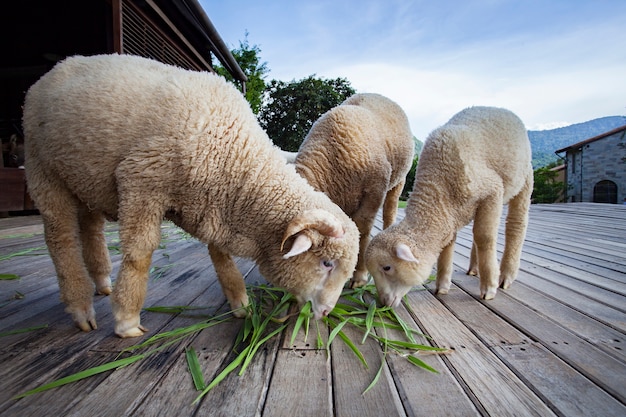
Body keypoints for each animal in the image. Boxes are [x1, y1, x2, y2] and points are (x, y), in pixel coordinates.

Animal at [23, 52, 356, 338]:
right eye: (327, 263)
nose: (326, 312)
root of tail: (54, 69)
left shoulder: (214, 204)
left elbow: (221, 256)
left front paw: (241, 305)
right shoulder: (142, 177)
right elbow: (139, 254)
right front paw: (127, 320)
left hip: (83, 178)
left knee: (91, 229)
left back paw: (103, 283)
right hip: (43, 167)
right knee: (61, 238)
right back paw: (81, 308)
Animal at [366, 105, 532, 308]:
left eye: (387, 267)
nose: (382, 303)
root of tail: (500, 109)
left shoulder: (492, 190)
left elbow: (485, 237)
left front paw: (489, 288)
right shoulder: (449, 214)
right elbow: (448, 246)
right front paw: (443, 286)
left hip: (525, 177)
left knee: (516, 224)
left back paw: (506, 275)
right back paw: (474, 268)